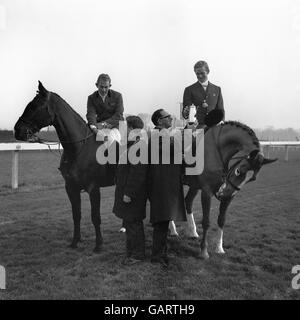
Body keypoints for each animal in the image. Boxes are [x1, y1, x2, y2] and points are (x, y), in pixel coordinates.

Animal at [14, 82, 116, 252]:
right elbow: (76, 215)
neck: (79, 147)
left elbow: (95, 217)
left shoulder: (93, 188)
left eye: (36, 105)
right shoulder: (70, 187)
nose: (17, 130)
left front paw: (98, 245)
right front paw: (75, 241)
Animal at [170, 116, 278, 258]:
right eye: (239, 171)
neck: (217, 150)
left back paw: (192, 232)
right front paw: (204, 251)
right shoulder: (206, 192)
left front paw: (219, 248)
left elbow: (221, 220)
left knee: (188, 202)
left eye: (252, 179)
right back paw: (173, 230)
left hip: (194, 186)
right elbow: (206, 221)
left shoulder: (230, 196)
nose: (224, 193)